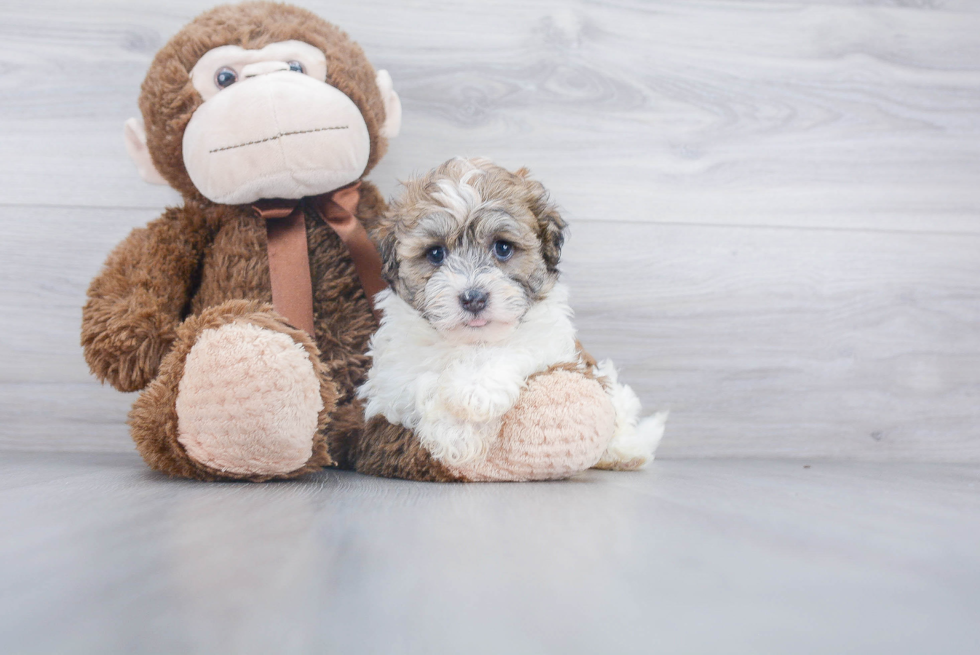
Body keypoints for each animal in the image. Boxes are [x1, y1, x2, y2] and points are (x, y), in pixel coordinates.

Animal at [360, 159, 668, 472]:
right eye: (435, 253)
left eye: (503, 248)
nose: (473, 298)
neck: (470, 342)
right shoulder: (391, 381)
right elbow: (421, 383)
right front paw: (455, 433)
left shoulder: (550, 346)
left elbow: (509, 351)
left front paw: (472, 394)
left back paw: (625, 453)